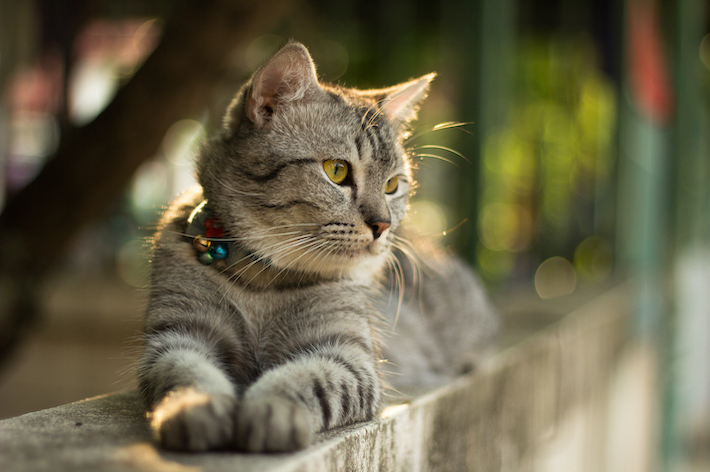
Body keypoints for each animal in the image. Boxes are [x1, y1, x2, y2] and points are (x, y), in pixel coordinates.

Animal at [138, 41, 496, 454]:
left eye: (392, 185)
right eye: (337, 170)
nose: (383, 225)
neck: (260, 281)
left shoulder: (347, 354)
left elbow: (304, 379)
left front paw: (270, 410)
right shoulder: (177, 334)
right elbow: (185, 373)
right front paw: (195, 408)